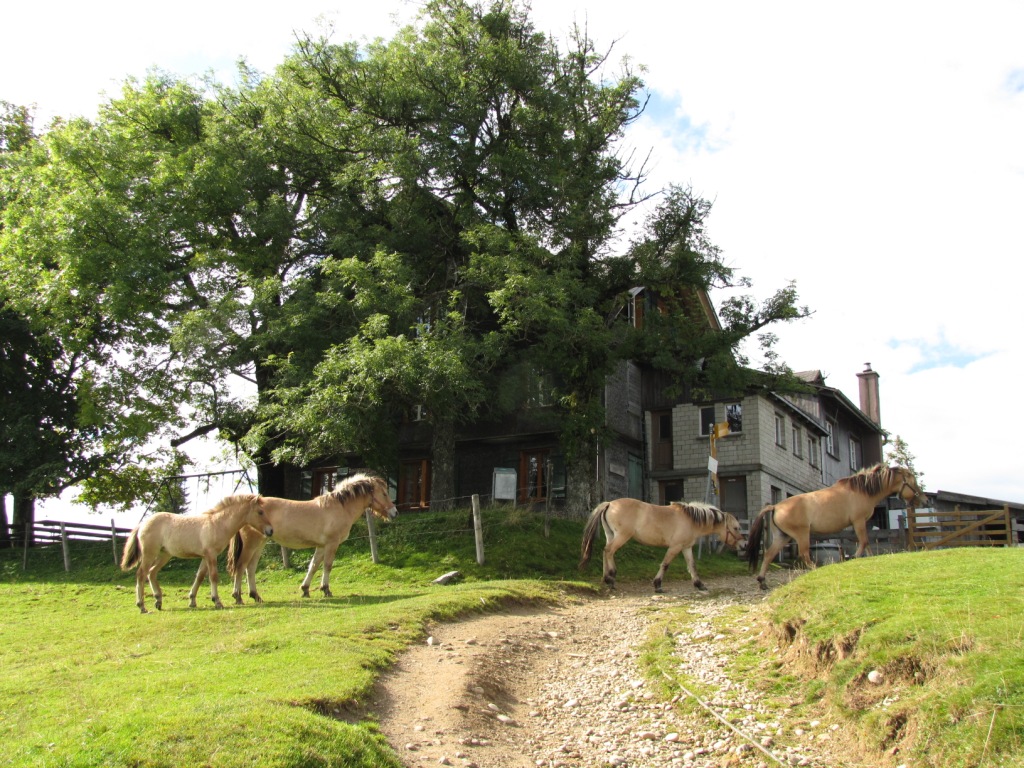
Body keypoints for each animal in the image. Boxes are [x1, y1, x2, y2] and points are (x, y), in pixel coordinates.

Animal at [119, 494, 271, 614]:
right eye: (260, 512)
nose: (270, 531)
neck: (217, 524)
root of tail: (142, 524)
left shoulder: (205, 556)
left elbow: (199, 576)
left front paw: (192, 601)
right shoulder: (211, 555)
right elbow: (213, 577)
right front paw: (217, 602)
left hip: (164, 554)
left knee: (151, 572)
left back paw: (158, 601)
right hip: (149, 553)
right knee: (141, 574)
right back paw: (142, 606)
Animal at [224, 472, 397, 602]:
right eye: (384, 493)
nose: (394, 512)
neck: (339, 507)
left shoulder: (321, 546)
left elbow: (313, 566)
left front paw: (305, 589)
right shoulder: (332, 544)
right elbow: (327, 566)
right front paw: (326, 590)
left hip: (259, 544)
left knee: (250, 568)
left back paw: (256, 596)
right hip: (251, 544)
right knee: (241, 567)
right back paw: (238, 596)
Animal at [579, 498, 744, 593]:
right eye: (736, 528)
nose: (743, 545)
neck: (690, 519)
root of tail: (610, 504)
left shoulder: (686, 548)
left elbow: (692, 566)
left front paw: (699, 584)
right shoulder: (675, 547)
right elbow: (665, 564)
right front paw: (657, 585)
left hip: (611, 535)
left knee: (606, 552)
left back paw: (608, 579)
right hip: (621, 536)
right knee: (608, 551)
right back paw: (610, 578)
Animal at [747, 464, 926, 590]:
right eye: (912, 481)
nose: (923, 500)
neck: (862, 490)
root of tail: (775, 507)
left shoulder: (861, 523)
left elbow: (866, 543)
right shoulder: (858, 521)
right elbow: (864, 542)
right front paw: (853, 557)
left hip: (783, 536)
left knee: (769, 555)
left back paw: (762, 581)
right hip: (801, 534)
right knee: (804, 554)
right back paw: (815, 570)